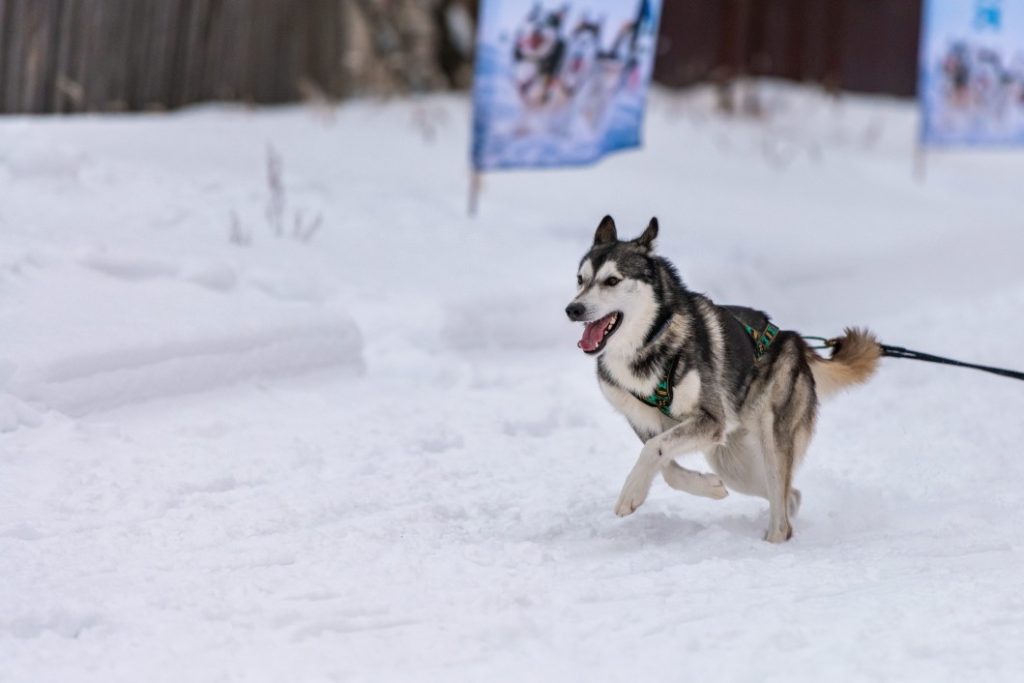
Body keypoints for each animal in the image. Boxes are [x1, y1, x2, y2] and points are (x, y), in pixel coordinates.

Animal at [569, 216, 880, 540]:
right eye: (580, 279)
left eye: (612, 280)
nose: (572, 309)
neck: (646, 346)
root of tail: (792, 339)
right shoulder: (646, 422)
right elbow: (664, 464)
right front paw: (708, 487)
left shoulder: (710, 420)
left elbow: (654, 449)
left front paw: (629, 493)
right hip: (732, 464)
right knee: (790, 495)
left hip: (770, 442)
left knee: (782, 517)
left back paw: (772, 539)